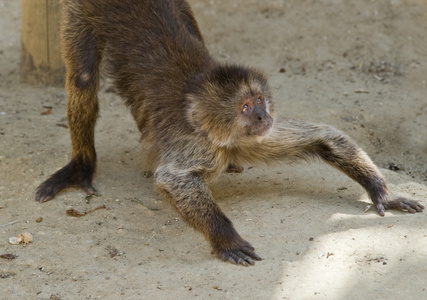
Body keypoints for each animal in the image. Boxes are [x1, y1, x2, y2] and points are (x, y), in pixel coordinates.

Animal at [36, 0, 424, 268]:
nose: (263, 115)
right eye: (245, 107)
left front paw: (382, 192)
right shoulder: (201, 146)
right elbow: (174, 179)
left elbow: (325, 136)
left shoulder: (257, 139)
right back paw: (81, 163)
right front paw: (225, 239)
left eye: (259, 100)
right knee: (83, 79)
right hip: (82, 9)